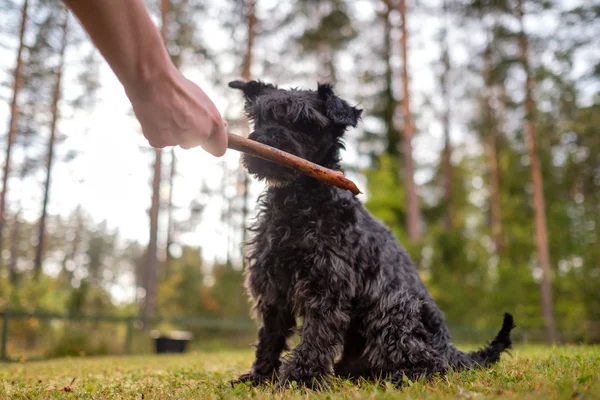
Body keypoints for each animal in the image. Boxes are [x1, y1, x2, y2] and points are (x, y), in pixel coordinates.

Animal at [230, 79, 516, 390]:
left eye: (305, 122)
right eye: (261, 117)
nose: (265, 141)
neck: (296, 205)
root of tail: (451, 348)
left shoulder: (326, 283)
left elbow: (316, 335)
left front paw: (300, 379)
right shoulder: (272, 285)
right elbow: (270, 336)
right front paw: (259, 376)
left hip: (391, 307)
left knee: (431, 362)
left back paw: (402, 377)